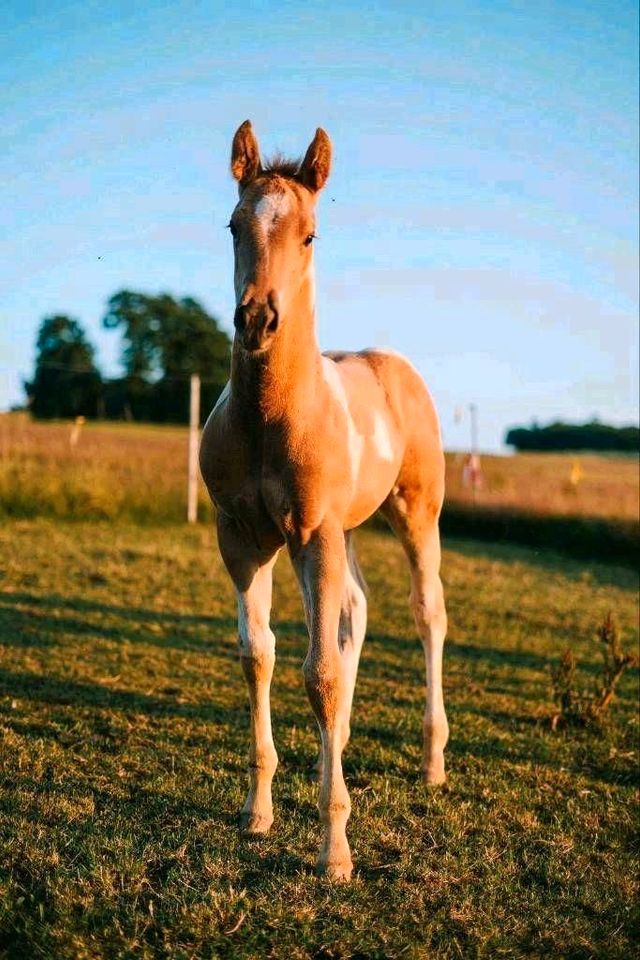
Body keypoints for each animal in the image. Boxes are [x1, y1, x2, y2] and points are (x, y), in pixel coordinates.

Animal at [200, 120, 450, 876]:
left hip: (413, 513)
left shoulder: (312, 534)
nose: (256, 319)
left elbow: (320, 674)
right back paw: (333, 747)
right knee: (355, 611)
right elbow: (260, 655)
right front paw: (258, 812)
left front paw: (334, 849)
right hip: (349, 527)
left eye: (310, 234)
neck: (270, 417)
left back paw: (432, 761)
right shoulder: (242, 538)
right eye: (232, 226)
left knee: (427, 613)